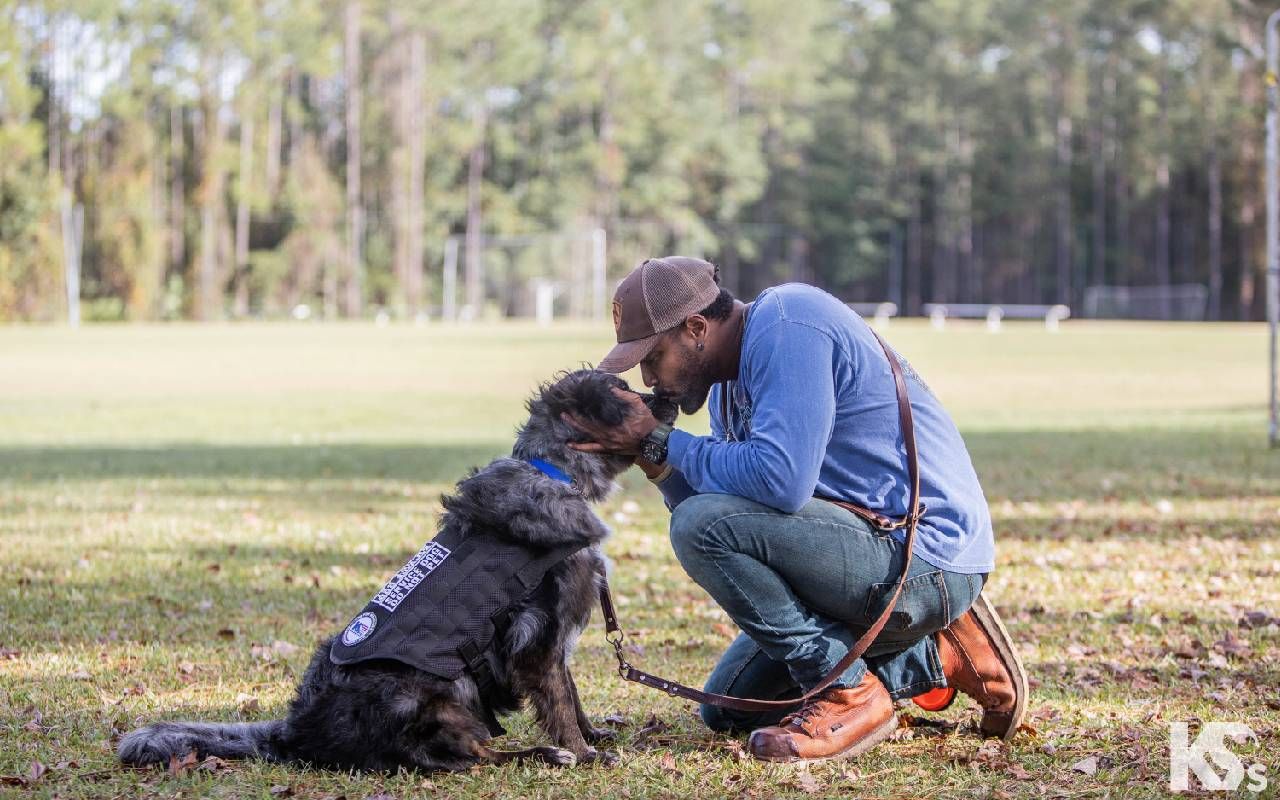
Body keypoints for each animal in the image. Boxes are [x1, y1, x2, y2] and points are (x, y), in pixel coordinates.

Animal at [117, 371, 680, 773]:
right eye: (625, 391)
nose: (670, 396)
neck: (554, 472)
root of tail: (293, 732)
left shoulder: (554, 639)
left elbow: (573, 696)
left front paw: (594, 736)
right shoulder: (538, 637)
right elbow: (560, 703)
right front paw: (583, 753)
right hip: (433, 691)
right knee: (464, 757)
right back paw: (543, 756)